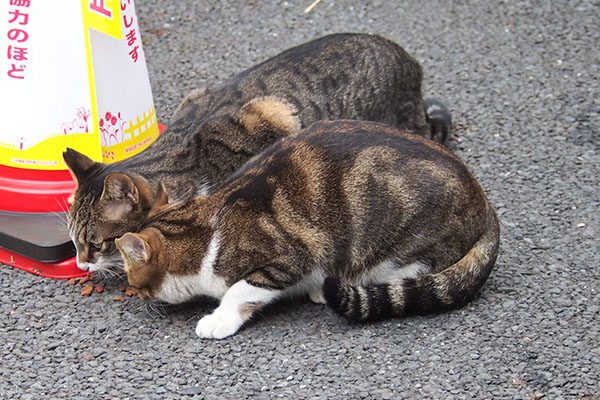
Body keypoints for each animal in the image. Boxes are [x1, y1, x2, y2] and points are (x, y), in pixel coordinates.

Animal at [112, 120, 496, 340]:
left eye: (132, 279)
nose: (135, 295)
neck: (206, 232)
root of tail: (486, 203)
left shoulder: (289, 255)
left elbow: (240, 290)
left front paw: (218, 320)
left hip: (394, 241)